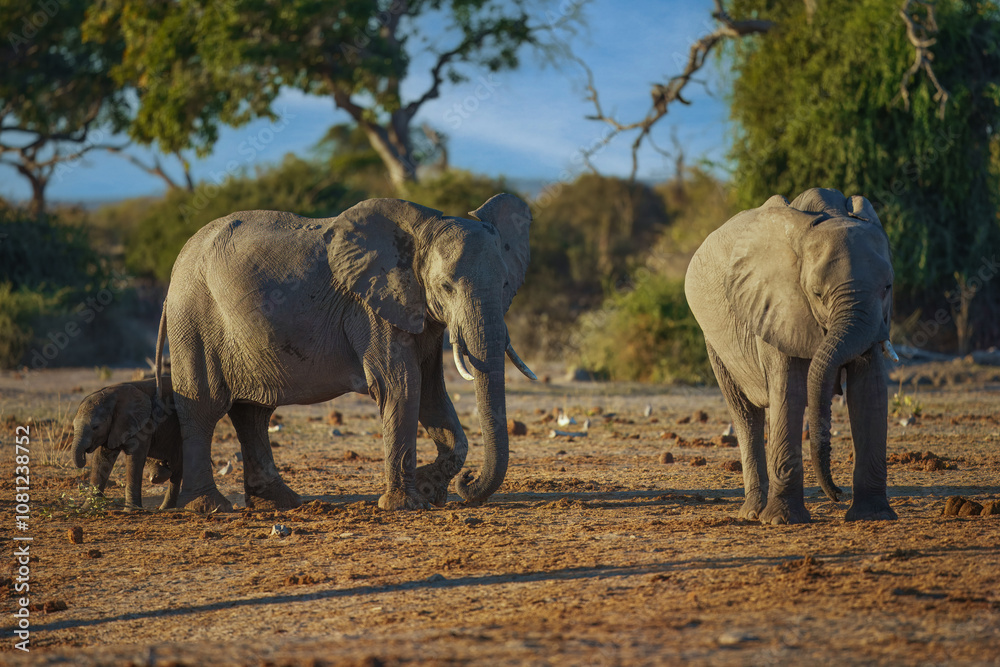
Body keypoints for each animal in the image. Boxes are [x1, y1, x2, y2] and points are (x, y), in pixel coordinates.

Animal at [72, 376, 183, 510]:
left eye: (95, 427)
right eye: (73, 426)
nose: (84, 454)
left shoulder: (143, 423)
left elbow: (134, 458)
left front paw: (131, 510)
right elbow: (101, 460)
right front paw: (87, 508)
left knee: (177, 468)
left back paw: (165, 506)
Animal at [156, 194, 536, 513]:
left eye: (506, 284)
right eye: (445, 287)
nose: (469, 482)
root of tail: (177, 263)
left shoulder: (420, 313)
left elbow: (431, 393)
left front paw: (430, 490)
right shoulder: (370, 308)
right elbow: (403, 385)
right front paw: (405, 506)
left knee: (253, 413)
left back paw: (282, 502)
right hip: (193, 316)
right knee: (205, 405)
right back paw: (209, 507)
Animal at [684, 188, 898, 524]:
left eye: (887, 287)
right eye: (817, 294)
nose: (837, 494)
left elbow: (870, 391)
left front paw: (873, 515)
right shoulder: (775, 306)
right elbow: (790, 390)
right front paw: (782, 520)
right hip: (713, 340)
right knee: (746, 414)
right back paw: (754, 513)